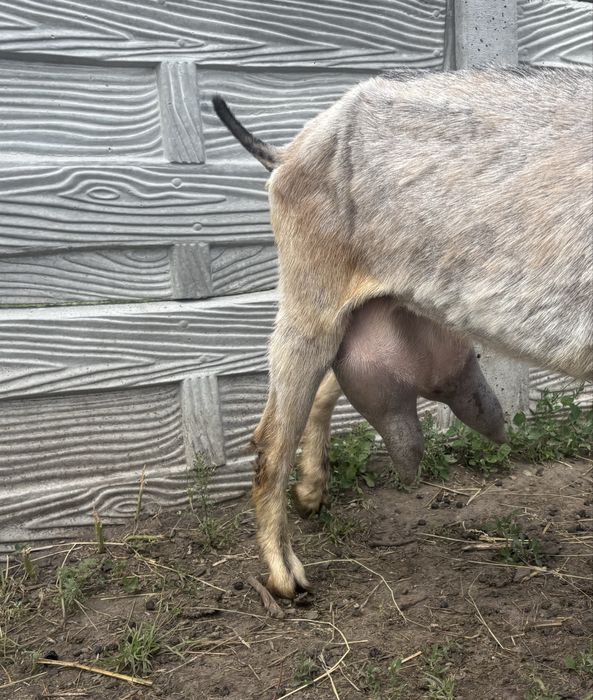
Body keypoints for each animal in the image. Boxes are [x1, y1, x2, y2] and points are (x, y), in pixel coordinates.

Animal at [213, 67, 593, 598]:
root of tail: (290, 152)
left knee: (326, 387)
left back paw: (311, 491)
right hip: (311, 303)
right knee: (271, 440)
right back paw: (283, 571)